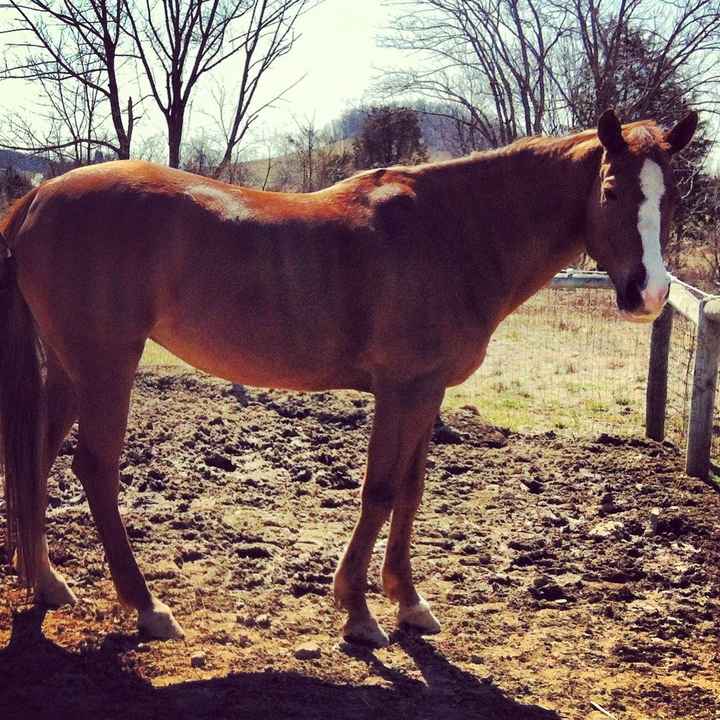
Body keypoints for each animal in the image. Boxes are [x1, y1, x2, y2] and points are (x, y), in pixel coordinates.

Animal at [0, 109, 697, 648]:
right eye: (611, 189)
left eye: (671, 197)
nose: (649, 294)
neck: (453, 232)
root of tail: (37, 199)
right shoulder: (400, 390)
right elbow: (380, 491)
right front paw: (359, 612)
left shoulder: (428, 391)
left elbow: (412, 491)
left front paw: (408, 600)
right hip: (107, 364)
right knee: (93, 468)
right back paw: (145, 607)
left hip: (70, 369)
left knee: (36, 455)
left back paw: (45, 580)